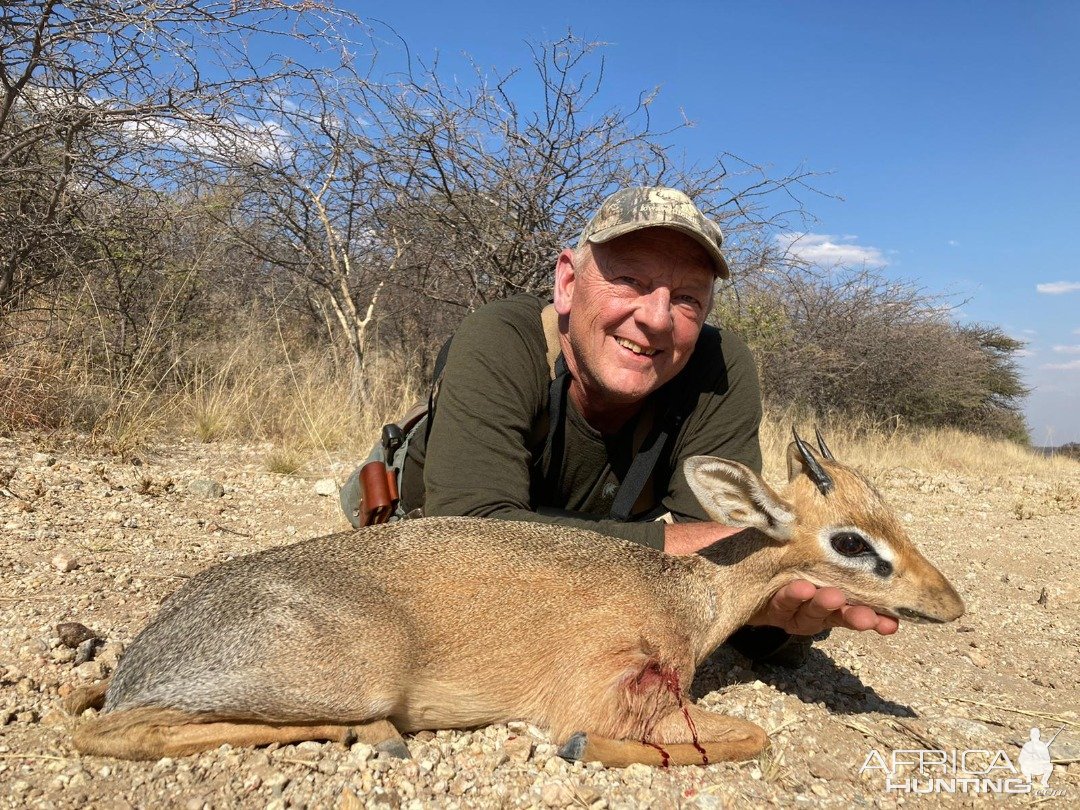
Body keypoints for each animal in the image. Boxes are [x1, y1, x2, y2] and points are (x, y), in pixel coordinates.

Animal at [67, 432, 963, 768]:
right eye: (852, 542)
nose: (950, 602)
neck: (691, 596)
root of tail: (148, 652)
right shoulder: (607, 692)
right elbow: (750, 734)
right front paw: (582, 750)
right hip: (341, 677)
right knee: (109, 731)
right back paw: (373, 733)